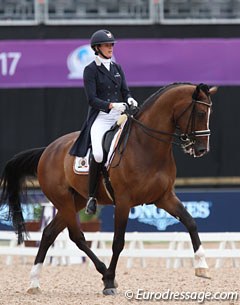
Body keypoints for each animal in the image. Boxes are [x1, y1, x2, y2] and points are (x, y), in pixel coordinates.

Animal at [0, 82, 218, 294]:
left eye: (209, 114)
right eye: (200, 113)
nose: (201, 149)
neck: (146, 146)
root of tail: (48, 150)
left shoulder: (164, 197)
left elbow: (190, 222)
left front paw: (202, 267)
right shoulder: (123, 202)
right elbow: (118, 242)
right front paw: (110, 281)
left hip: (75, 201)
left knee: (48, 233)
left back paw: (34, 282)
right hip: (64, 201)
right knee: (76, 237)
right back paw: (103, 273)